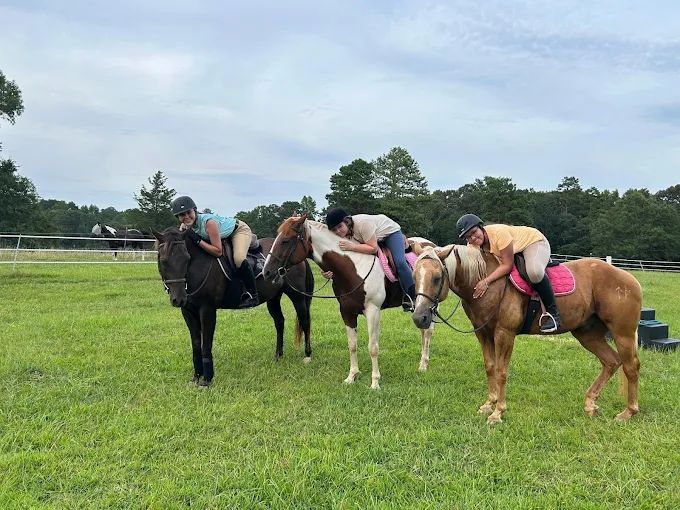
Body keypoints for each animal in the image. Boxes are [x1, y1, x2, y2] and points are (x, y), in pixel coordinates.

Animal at [153, 226, 314, 387]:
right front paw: (196, 376)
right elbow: (196, 344)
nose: (178, 299)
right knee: (279, 322)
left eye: (186, 258)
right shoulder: (187, 311)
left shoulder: (207, 310)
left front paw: (207, 379)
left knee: (305, 321)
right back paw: (278, 356)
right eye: (163, 260)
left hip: (297, 296)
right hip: (273, 298)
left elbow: (206, 344)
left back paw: (307, 355)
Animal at [262, 214, 438, 390]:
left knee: (428, 331)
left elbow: (373, 347)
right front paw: (352, 376)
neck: (354, 267)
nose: (266, 272)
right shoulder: (346, 311)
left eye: (285, 240)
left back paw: (423, 365)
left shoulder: (373, 311)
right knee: (424, 330)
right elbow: (352, 345)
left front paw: (375, 382)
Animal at [410, 243, 642, 425]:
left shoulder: (504, 334)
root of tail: (629, 278)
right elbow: (490, 367)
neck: (488, 282)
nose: (419, 317)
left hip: (622, 334)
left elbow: (502, 371)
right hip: (587, 333)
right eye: (414, 276)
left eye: (437, 277)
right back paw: (590, 404)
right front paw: (488, 404)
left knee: (631, 367)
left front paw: (498, 413)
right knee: (611, 362)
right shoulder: (483, 333)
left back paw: (628, 412)